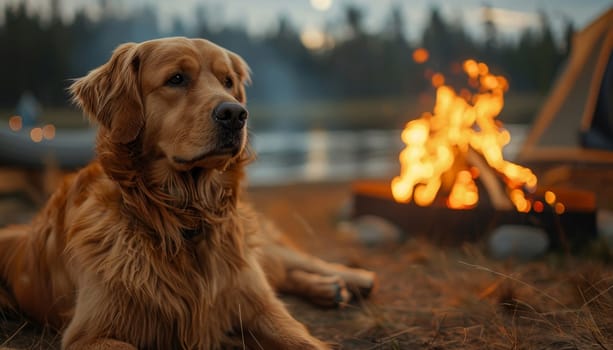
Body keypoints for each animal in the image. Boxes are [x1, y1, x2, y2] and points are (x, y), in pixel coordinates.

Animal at [0, 37, 376, 348]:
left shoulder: (259, 307)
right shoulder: (91, 334)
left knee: (297, 263)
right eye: (176, 79)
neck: (184, 217)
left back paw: (353, 278)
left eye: (228, 82)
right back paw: (329, 289)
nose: (235, 113)